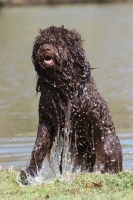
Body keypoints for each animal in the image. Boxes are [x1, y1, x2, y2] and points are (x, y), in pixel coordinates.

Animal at [20, 25, 121, 181]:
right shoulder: (47, 118)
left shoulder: (94, 119)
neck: (62, 86)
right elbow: (39, 145)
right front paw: (30, 172)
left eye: (58, 41)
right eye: (41, 42)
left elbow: (105, 147)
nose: (45, 48)